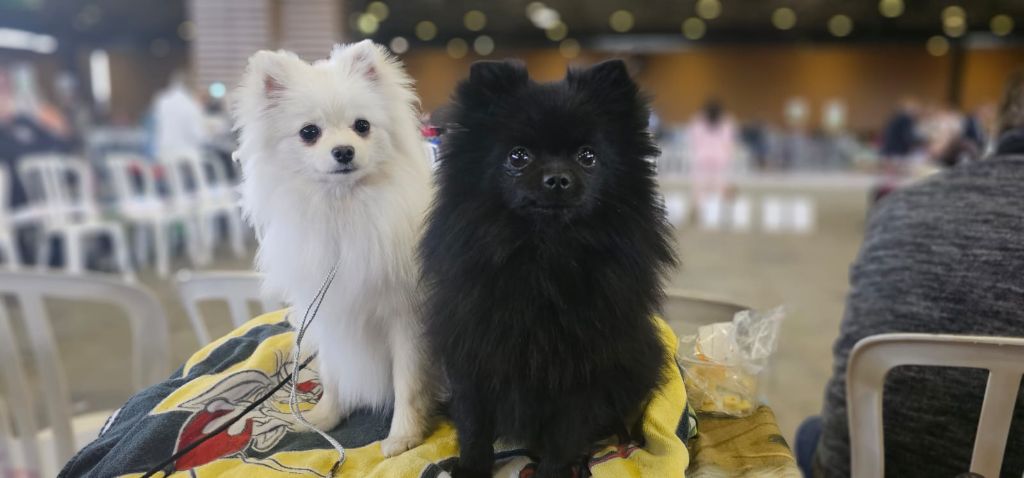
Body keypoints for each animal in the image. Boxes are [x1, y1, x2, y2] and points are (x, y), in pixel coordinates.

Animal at [232, 41, 436, 456]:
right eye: (309, 132)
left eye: (362, 126)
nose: (343, 151)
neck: (343, 212)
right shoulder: (326, 312)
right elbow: (333, 371)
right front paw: (325, 417)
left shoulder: (406, 318)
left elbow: (408, 381)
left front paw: (404, 436)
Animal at [419, 60, 675, 478]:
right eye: (518, 157)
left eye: (587, 156)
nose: (557, 179)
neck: (543, 256)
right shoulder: (473, 354)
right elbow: (474, 424)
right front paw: (471, 468)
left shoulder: (582, 369)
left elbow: (564, 434)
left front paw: (555, 470)